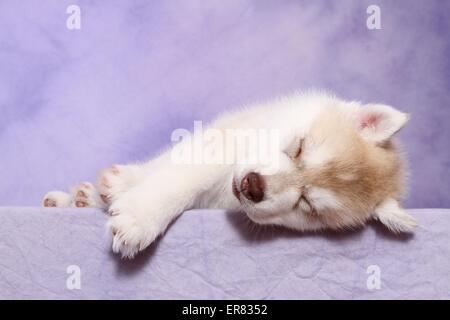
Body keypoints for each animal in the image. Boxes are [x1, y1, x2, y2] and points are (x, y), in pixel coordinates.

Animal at [44, 90, 416, 258]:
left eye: (307, 205)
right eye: (298, 148)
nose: (253, 186)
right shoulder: (216, 145)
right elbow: (173, 179)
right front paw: (137, 217)